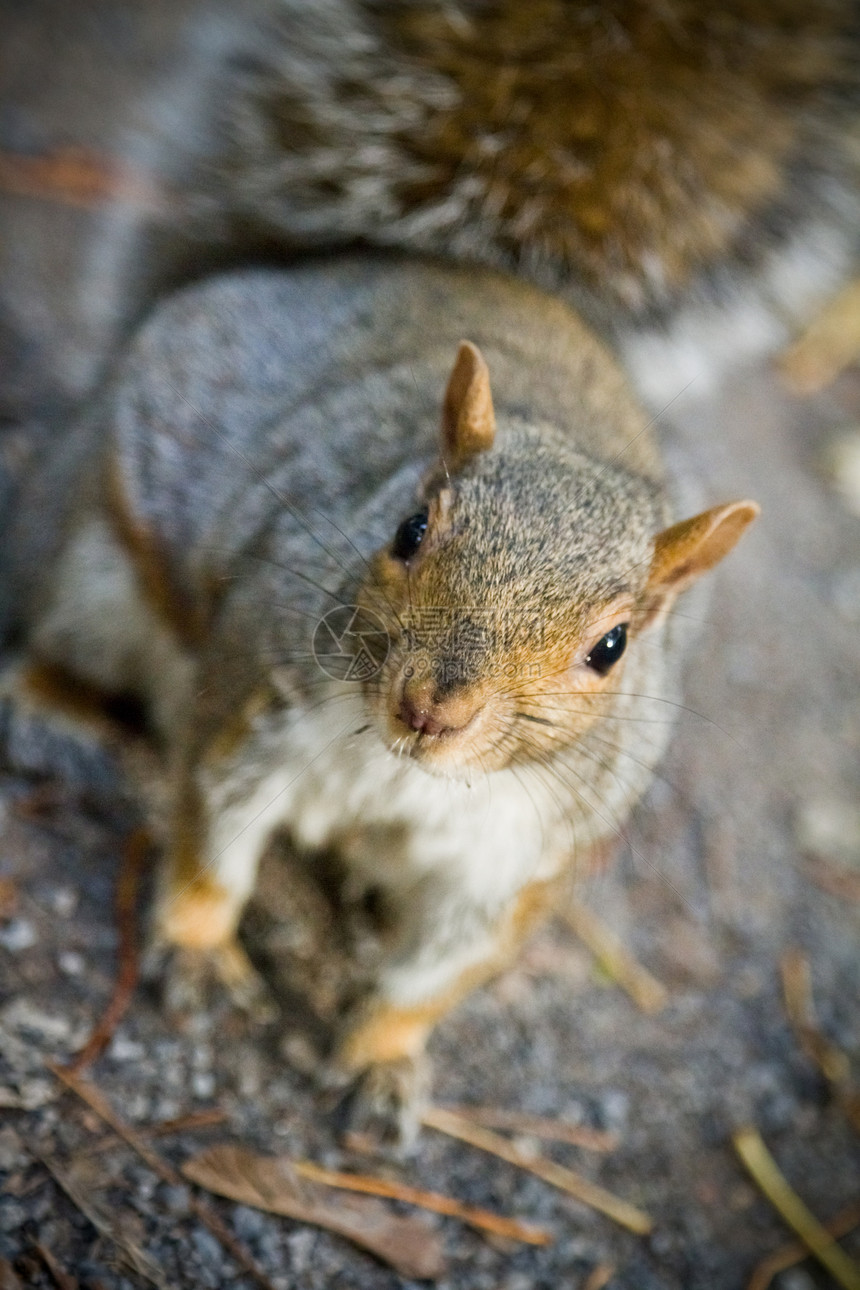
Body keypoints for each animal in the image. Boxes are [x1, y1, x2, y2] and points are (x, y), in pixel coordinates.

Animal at [0, 256, 758, 1145]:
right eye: (409, 529)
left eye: (612, 648)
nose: (432, 707)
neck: (406, 773)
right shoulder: (256, 698)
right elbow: (213, 837)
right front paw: (197, 947)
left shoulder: (522, 850)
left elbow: (441, 969)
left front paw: (382, 1061)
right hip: (94, 575)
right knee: (53, 637)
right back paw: (52, 713)